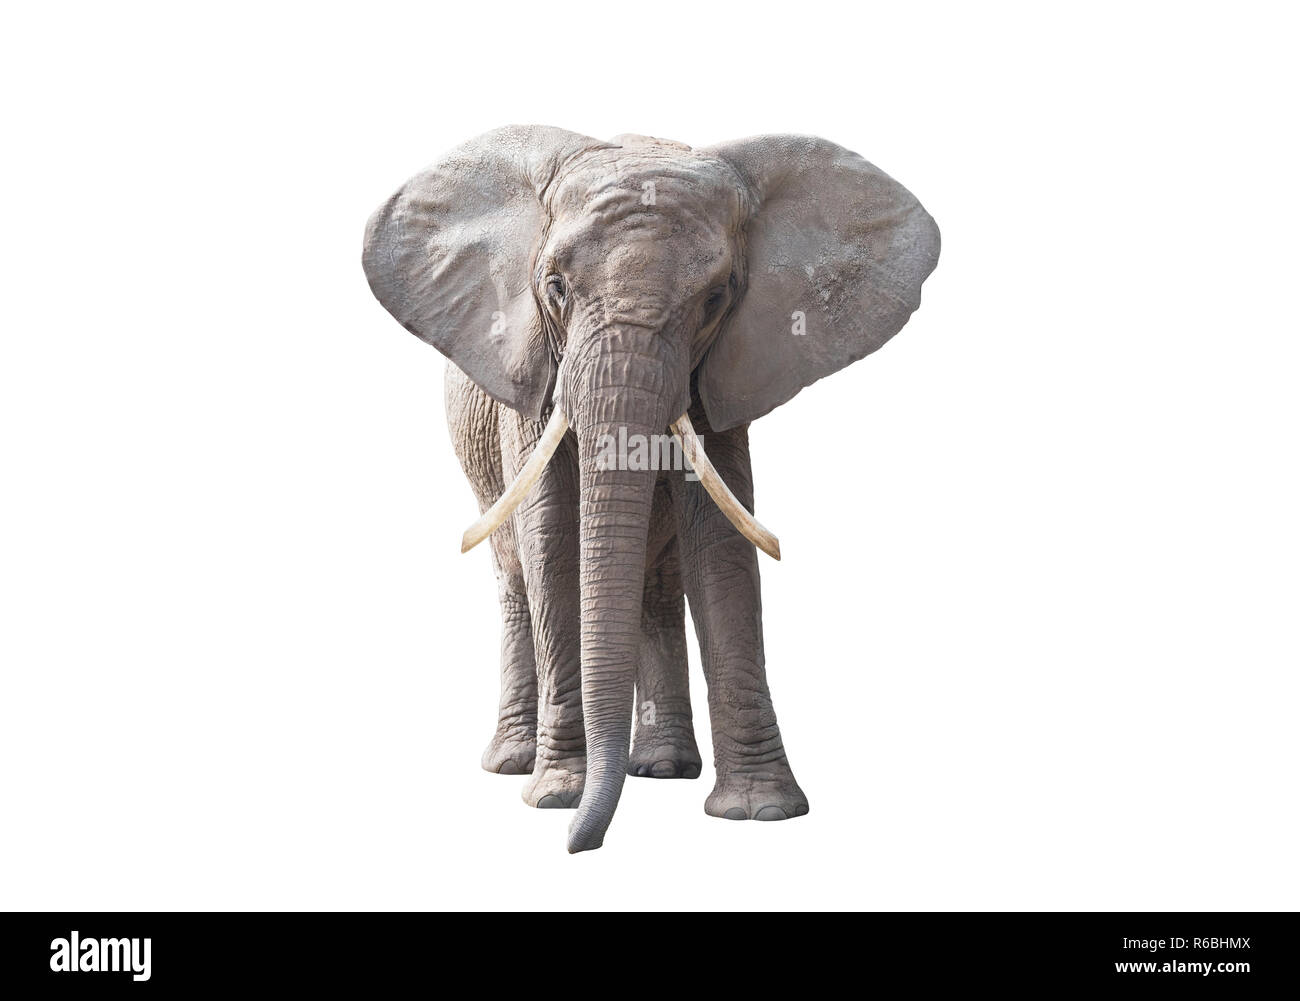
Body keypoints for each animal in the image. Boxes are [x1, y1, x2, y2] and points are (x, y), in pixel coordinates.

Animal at [363, 127, 939, 852]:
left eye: (717, 298)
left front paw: (760, 812)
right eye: (555, 286)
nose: (580, 843)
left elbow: (720, 544)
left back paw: (660, 768)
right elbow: (553, 540)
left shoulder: (725, 373)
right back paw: (518, 763)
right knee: (517, 576)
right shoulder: (531, 379)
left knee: (658, 587)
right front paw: (556, 796)